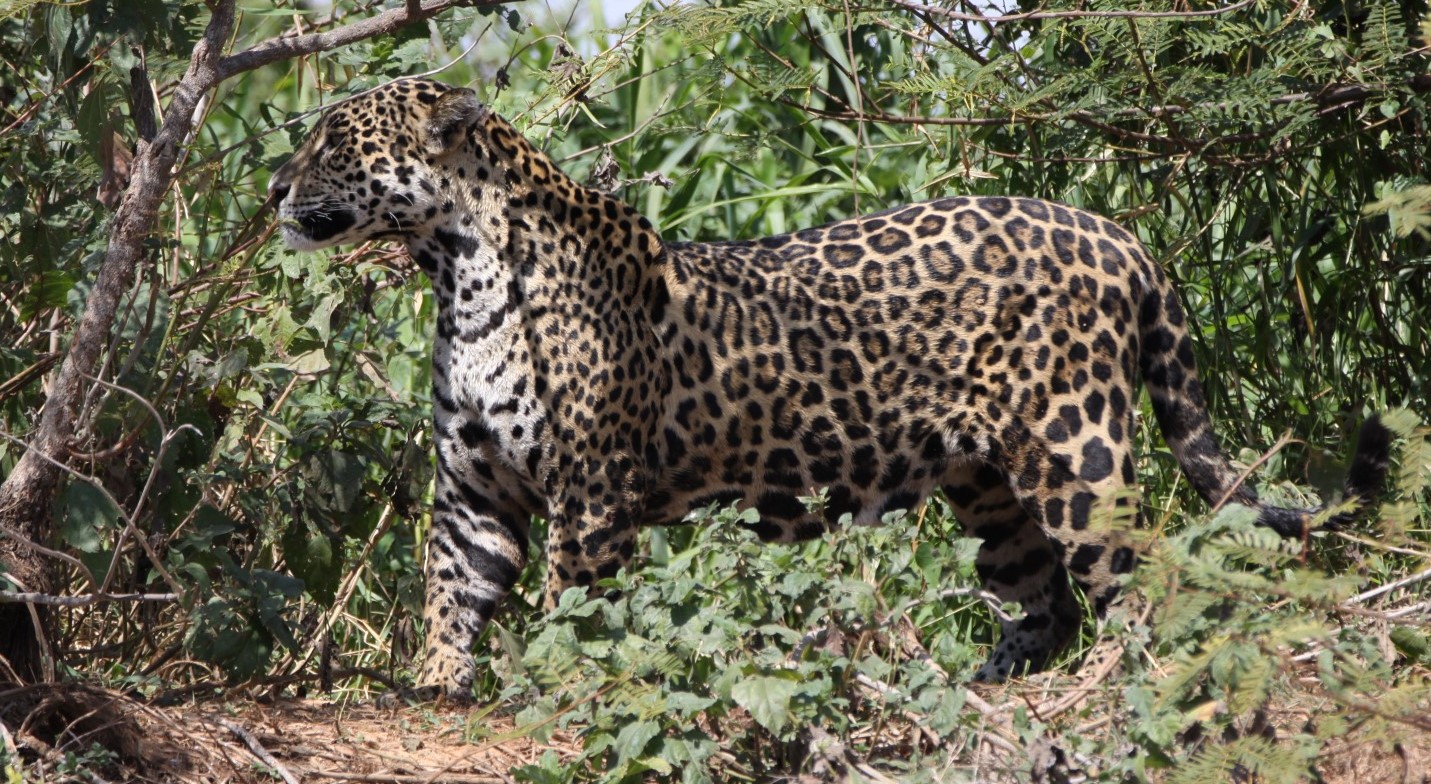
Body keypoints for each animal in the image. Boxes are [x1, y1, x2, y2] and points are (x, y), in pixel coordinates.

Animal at [267, 77, 1392, 697]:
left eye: (331, 141)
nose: (273, 185)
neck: (456, 267)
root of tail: (1117, 233)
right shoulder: (475, 487)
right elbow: (451, 592)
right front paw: (437, 686)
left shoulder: (592, 492)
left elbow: (571, 608)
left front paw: (553, 679)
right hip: (986, 481)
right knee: (1045, 595)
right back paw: (983, 680)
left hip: (1077, 448)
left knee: (1140, 573)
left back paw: (1123, 679)